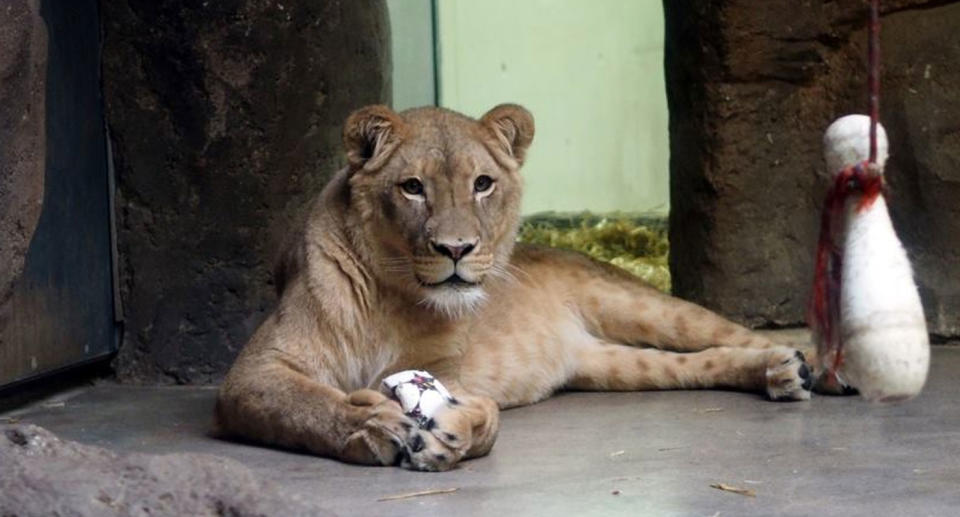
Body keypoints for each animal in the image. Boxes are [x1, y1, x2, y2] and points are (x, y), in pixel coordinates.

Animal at [214, 105, 812, 472]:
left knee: (731, 333)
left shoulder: (450, 370)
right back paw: (781, 373)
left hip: (638, 306)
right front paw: (373, 424)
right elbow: (307, 403)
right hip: (612, 365)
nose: (456, 249)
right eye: (412, 187)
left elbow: (487, 416)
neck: (393, 294)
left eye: (482, 184)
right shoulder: (254, 374)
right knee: (697, 363)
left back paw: (806, 368)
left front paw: (450, 435)